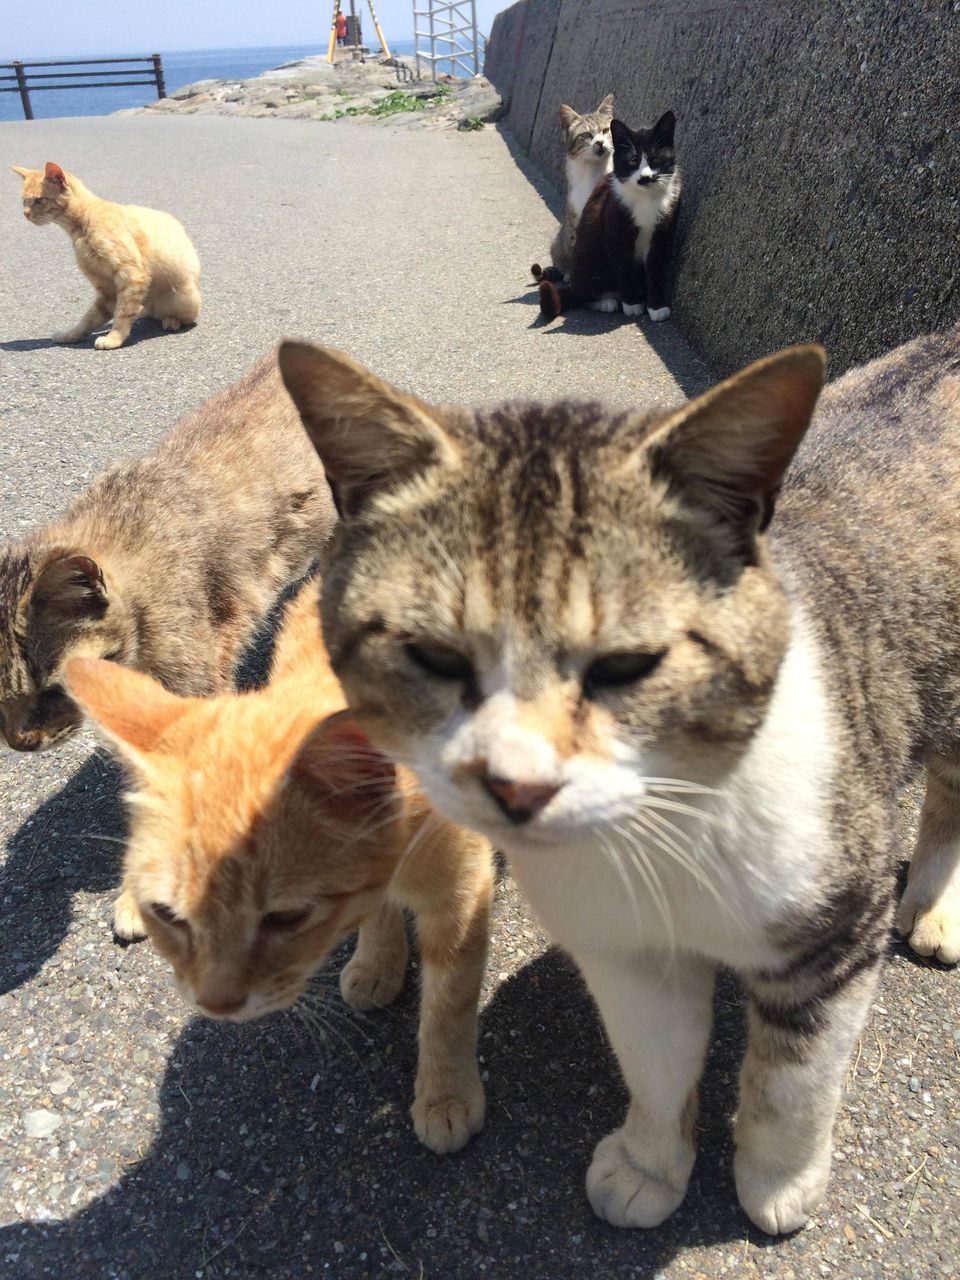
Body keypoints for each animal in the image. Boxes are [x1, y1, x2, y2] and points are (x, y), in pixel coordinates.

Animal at [11, 161, 202, 350]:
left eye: (39, 200)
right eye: (24, 201)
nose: (25, 214)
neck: (82, 225)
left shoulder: (131, 274)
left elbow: (122, 312)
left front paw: (114, 338)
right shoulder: (106, 288)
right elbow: (90, 318)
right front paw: (71, 335)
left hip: (184, 298)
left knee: (182, 316)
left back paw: (170, 320)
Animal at [65, 577, 494, 1154]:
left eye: (286, 918)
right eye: (168, 915)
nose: (216, 1003)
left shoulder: (462, 892)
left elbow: (450, 1002)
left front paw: (446, 1095)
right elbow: (377, 908)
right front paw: (378, 959)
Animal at [278, 328, 960, 1235]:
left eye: (628, 666)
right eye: (434, 657)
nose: (516, 786)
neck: (662, 830)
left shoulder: (834, 930)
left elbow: (793, 1082)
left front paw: (777, 1183)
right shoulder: (627, 953)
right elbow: (657, 1065)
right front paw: (649, 1168)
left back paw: (936, 907)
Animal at [530, 94, 614, 283]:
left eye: (605, 130)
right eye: (586, 135)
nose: (600, 142)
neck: (593, 172)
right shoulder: (576, 216)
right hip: (558, 244)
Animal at [538, 111, 681, 324]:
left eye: (655, 159)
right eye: (632, 161)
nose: (645, 177)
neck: (646, 198)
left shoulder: (663, 233)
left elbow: (656, 269)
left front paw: (656, 307)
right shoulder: (616, 231)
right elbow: (624, 268)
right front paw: (632, 305)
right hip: (589, 256)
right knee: (583, 295)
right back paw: (607, 302)